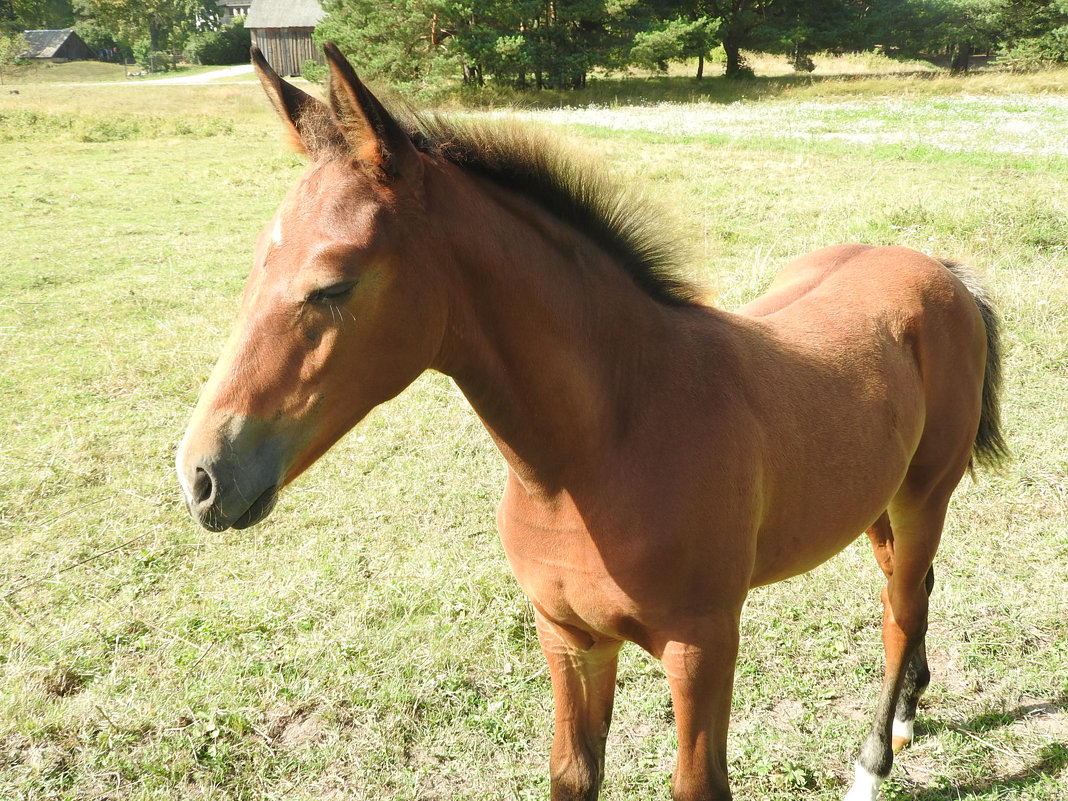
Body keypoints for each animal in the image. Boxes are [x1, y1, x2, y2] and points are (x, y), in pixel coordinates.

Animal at [175, 45, 999, 801]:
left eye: (333, 285)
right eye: (255, 265)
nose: (203, 476)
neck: (601, 448)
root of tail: (942, 271)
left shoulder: (702, 645)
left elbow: (697, 783)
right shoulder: (569, 638)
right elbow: (574, 773)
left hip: (924, 495)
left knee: (900, 610)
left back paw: (873, 761)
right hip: (876, 502)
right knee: (907, 590)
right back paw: (908, 715)